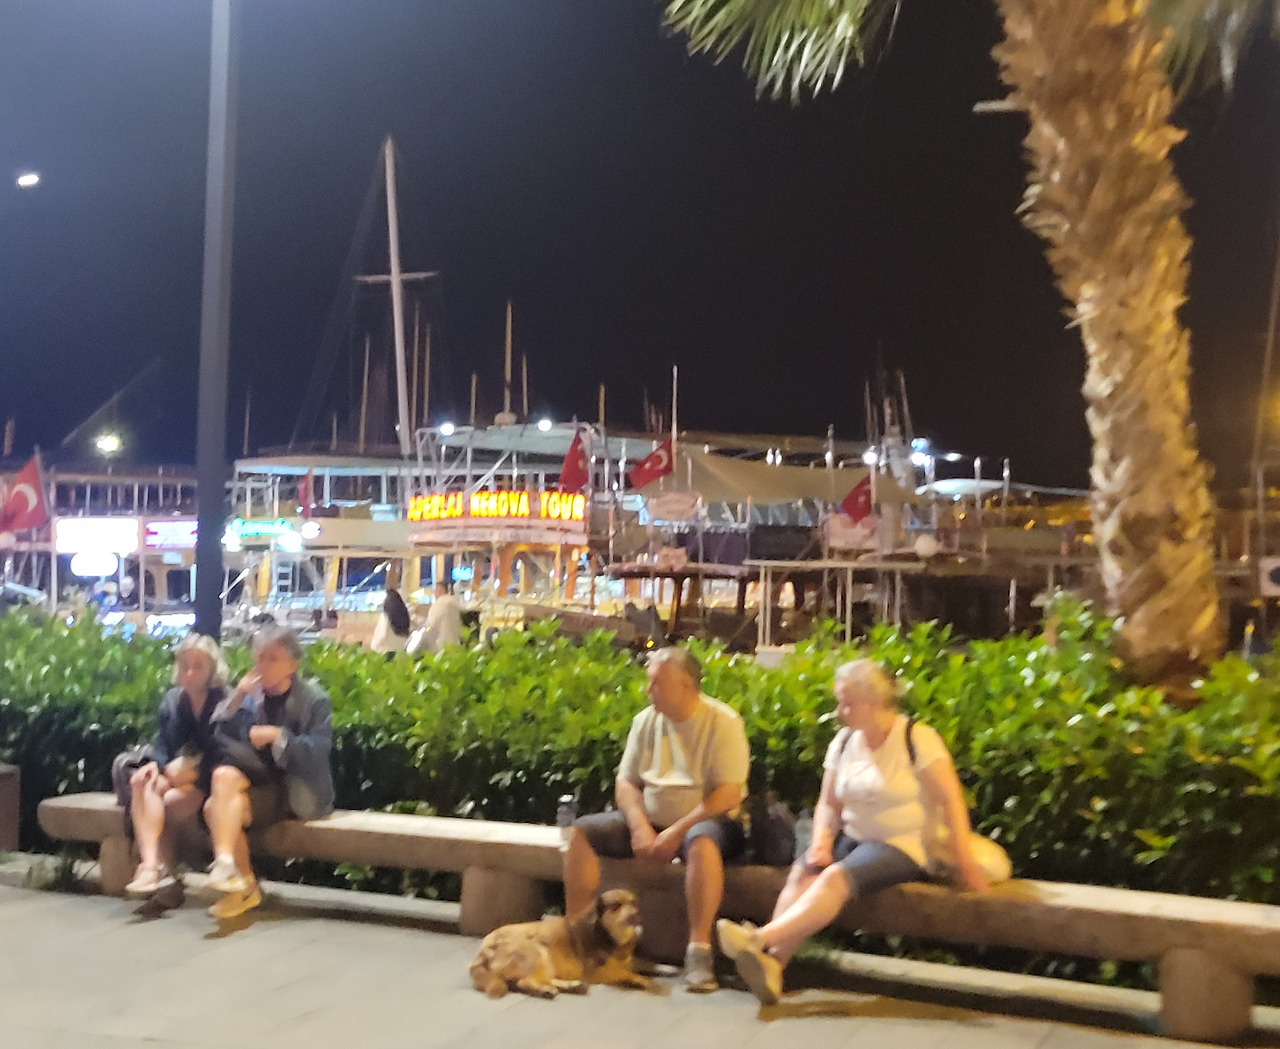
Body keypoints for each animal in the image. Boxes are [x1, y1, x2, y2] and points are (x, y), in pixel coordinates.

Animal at [469, 888, 651, 999]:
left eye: (634, 903)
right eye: (615, 906)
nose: (635, 916)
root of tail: (483, 950)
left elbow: (635, 965)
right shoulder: (594, 971)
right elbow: (623, 971)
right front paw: (637, 978)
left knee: (543, 979)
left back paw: (572, 986)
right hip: (537, 954)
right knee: (525, 981)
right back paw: (547, 990)